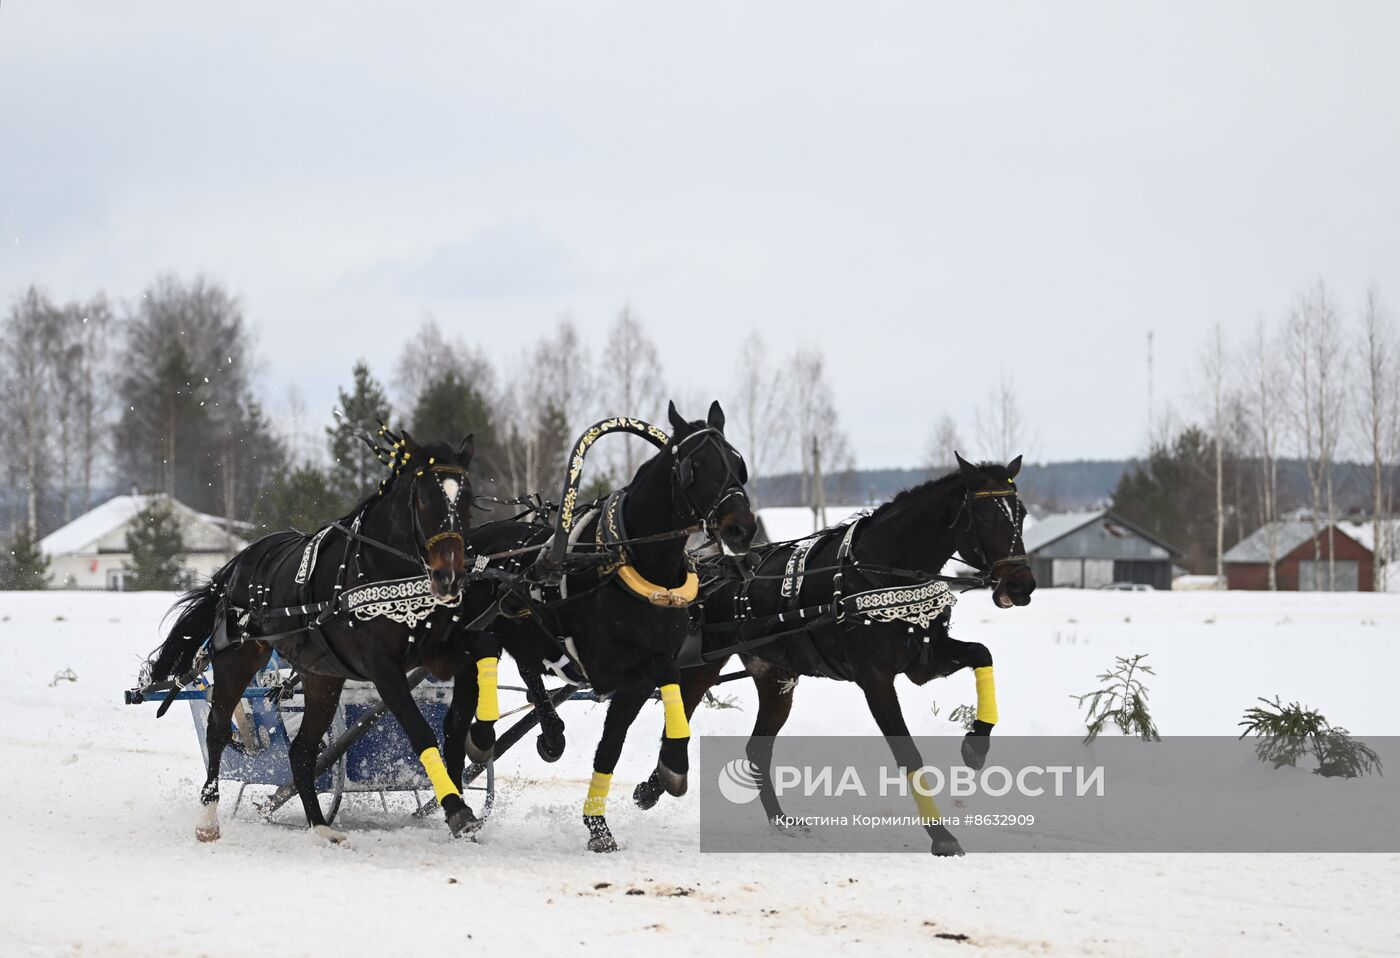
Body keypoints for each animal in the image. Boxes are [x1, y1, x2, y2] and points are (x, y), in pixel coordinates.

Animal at [142, 431, 481, 840]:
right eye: (425, 499)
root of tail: (239, 562)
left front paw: (462, 778)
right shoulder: (383, 668)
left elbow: (459, 711)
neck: (385, 575)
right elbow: (420, 732)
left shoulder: (438, 654)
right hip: (237, 660)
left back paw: (320, 825)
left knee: (301, 751)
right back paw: (209, 818)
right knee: (218, 730)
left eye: (469, 499)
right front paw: (456, 808)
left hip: (321, 678)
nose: (451, 577)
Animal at [445, 400, 756, 851]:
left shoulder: (634, 684)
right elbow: (667, 670)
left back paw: (547, 737)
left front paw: (599, 826)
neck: (631, 562)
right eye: (695, 465)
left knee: (524, 673)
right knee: (460, 715)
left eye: (737, 462)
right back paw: (465, 780)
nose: (742, 528)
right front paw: (673, 765)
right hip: (466, 647)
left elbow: (611, 746)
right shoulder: (608, 665)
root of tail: (473, 546)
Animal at [632, 453, 1030, 857]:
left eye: (1022, 512)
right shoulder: (875, 678)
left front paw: (976, 744)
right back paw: (656, 784)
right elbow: (907, 753)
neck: (879, 573)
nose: (1021, 585)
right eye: (986, 516)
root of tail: (706, 567)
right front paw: (941, 835)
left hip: (775, 678)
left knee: (757, 750)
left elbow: (982, 654)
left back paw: (780, 821)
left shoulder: (924, 662)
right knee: (680, 717)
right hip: (704, 665)